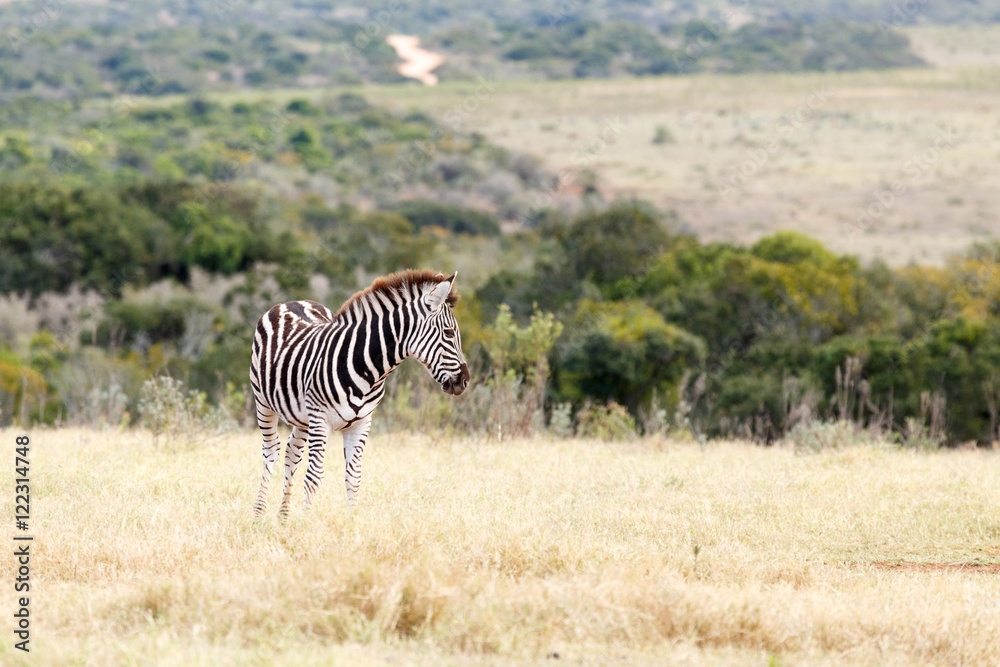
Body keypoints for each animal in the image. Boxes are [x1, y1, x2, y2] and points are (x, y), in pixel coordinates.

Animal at [249, 269, 470, 516]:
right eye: (449, 333)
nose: (465, 380)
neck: (366, 368)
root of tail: (291, 302)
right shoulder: (320, 420)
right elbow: (314, 477)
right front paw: (305, 522)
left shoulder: (362, 423)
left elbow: (354, 478)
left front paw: (350, 522)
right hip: (263, 402)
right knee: (272, 450)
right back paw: (259, 514)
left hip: (301, 417)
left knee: (292, 451)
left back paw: (283, 517)